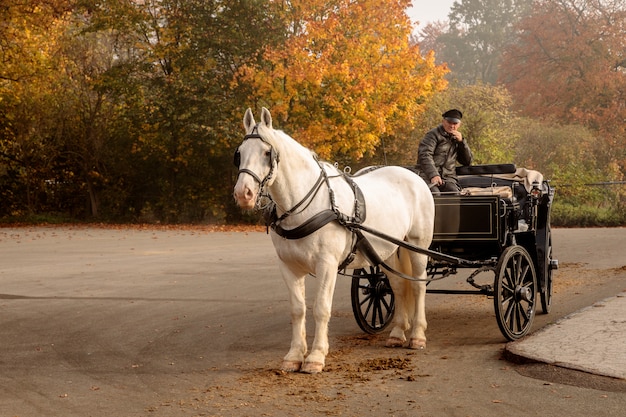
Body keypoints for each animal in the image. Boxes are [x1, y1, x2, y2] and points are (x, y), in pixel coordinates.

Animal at [232, 107, 432, 374]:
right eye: (240, 154)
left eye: (267, 153)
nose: (243, 194)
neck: (305, 206)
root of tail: (415, 177)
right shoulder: (288, 267)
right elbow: (297, 310)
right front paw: (294, 356)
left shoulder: (326, 265)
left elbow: (321, 308)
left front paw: (316, 356)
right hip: (389, 250)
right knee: (399, 286)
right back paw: (398, 333)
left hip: (417, 245)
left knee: (419, 285)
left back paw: (417, 335)